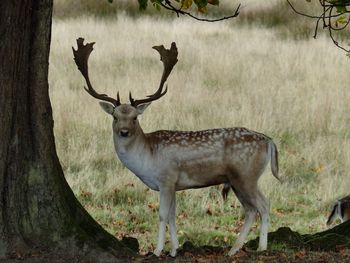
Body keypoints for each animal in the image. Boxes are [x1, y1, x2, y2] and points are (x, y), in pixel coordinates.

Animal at [72, 37, 280, 258]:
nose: (124, 131)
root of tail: (269, 141)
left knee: (264, 205)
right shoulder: (174, 185)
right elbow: (172, 216)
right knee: (250, 209)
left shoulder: (167, 179)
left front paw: (157, 251)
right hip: (235, 180)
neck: (147, 157)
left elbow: (163, 215)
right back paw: (233, 250)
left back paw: (261, 247)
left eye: (135, 117)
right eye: (115, 117)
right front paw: (174, 250)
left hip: (246, 175)